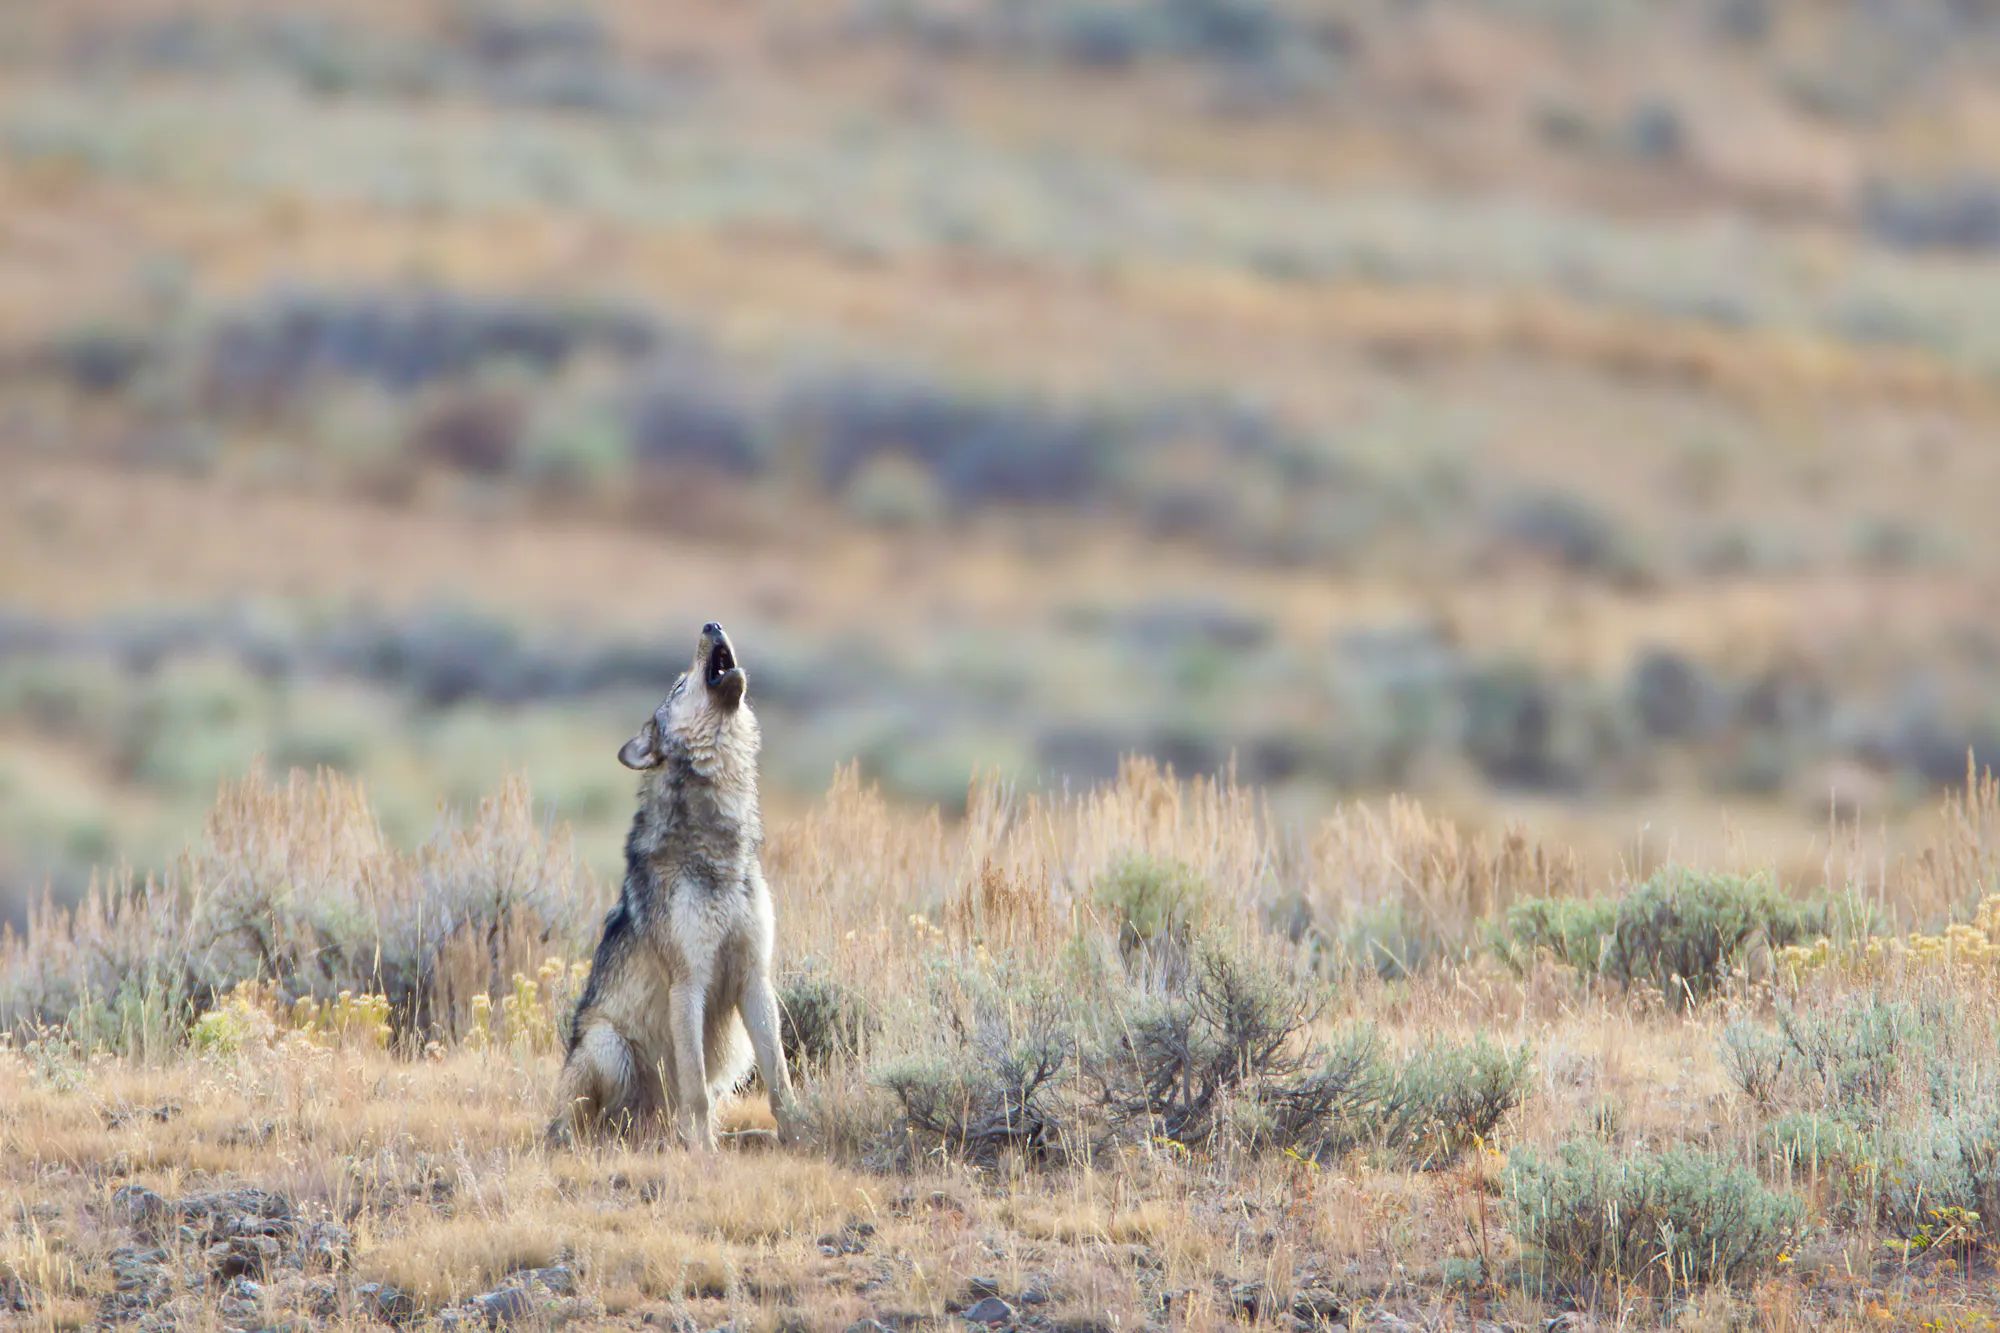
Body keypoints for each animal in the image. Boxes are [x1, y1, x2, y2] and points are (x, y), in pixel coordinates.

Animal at [549, 622, 798, 1151]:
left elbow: (782, 1082)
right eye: (679, 686)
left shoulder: (755, 977)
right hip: (606, 1044)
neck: (717, 848)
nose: (712, 624)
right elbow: (696, 1092)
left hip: (734, 1049)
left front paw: (803, 1135)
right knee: (606, 1125)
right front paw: (705, 1157)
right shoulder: (688, 983)